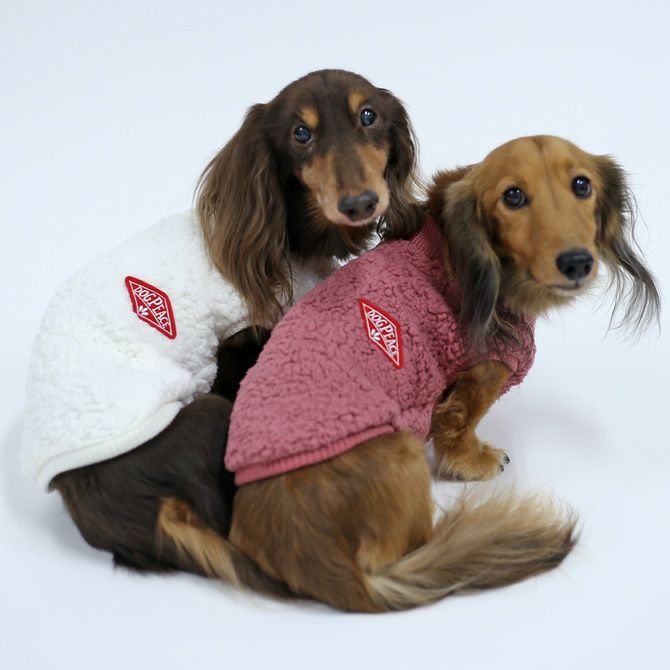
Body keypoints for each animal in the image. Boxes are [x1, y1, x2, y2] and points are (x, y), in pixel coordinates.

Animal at [25, 69, 422, 582]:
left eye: (368, 115)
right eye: (300, 133)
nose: (361, 203)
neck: (290, 239)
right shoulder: (247, 339)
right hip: (209, 416)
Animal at [166, 135, 659, 611]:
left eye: (582, 185)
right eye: (513, 196)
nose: (577, 262)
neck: (460, 256)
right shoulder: (483, 372)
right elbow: (458, 422)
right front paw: (474, 460)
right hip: (400, 447)